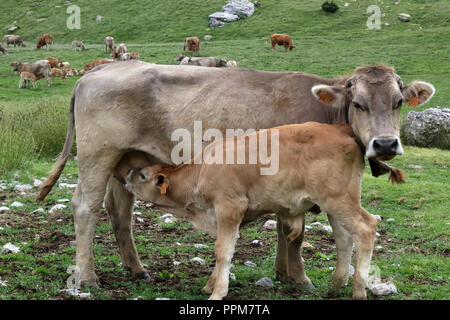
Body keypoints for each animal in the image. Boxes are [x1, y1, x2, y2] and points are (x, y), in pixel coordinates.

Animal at [122, 122, 384, 300]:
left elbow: (223, 250)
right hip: (337, 205)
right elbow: (222, 249)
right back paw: (336, 285)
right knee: (344, 239)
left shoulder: (230, 208)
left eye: (143, 175)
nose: (126, 174)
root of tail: (341, 130)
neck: (201, 171)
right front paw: (210, 284)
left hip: (339, 201)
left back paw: (358, 289)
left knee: (366, 228)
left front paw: (217, 291)